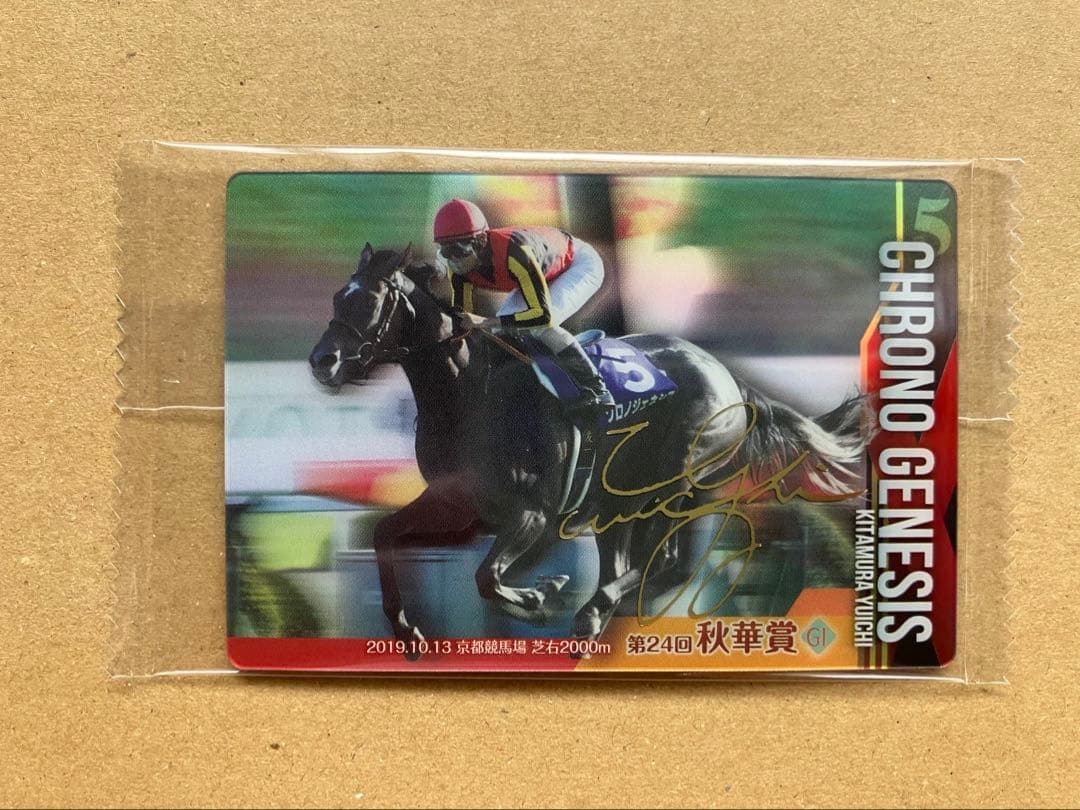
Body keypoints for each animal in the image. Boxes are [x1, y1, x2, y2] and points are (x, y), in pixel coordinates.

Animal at [309, 243, 869, 652]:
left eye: (368, 301)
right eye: (336, 298)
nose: (322, 361)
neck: (472, 396)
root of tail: (729, 377)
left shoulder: (532, 513)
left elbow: (488, 577)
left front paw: (543, 593)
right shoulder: (459, 506)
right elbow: (385, 534)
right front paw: (408, 630)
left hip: (677, 486)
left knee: (669, 562)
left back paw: (592, 612)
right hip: (616, 505)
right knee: (632, 566)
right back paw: (597, 617)